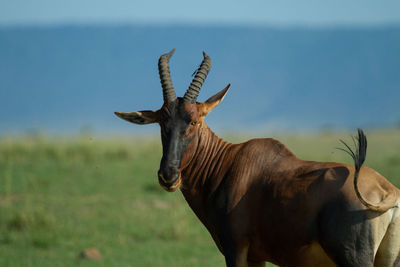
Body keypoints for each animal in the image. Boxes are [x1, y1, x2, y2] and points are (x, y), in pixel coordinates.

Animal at [115, 49, 400, 266]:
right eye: (162, 122)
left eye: (194, 121)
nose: (168, 176)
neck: (228, 164)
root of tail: (387, 191)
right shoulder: (256, 256)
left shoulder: (236, 249)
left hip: (354, 259)